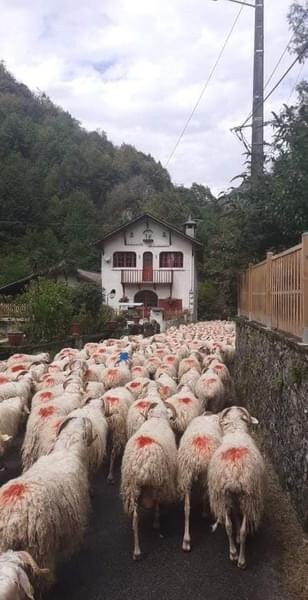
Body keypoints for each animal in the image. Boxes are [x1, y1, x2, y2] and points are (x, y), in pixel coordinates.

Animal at [121, 400, 178, 560]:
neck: (157, 418)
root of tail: (141, 462)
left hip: (132, 487)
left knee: (135, 518)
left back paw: (137, 552)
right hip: (157, 483)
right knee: (157, 502)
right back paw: (156, 523)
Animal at [178, 414, 221, 552]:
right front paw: (205, 512)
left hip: (185, 475)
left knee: (187, 508)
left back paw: (186, 541)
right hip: (205, 475)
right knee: (205, 494)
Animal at [208, 406, 266, 568]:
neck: (235, 430)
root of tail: (234, 470)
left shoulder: (232, 497)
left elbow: (233, 519)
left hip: (225, 497)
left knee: (229, 526)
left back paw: (233, 553)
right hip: (247, 498)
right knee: (243, 530)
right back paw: (241, 560)